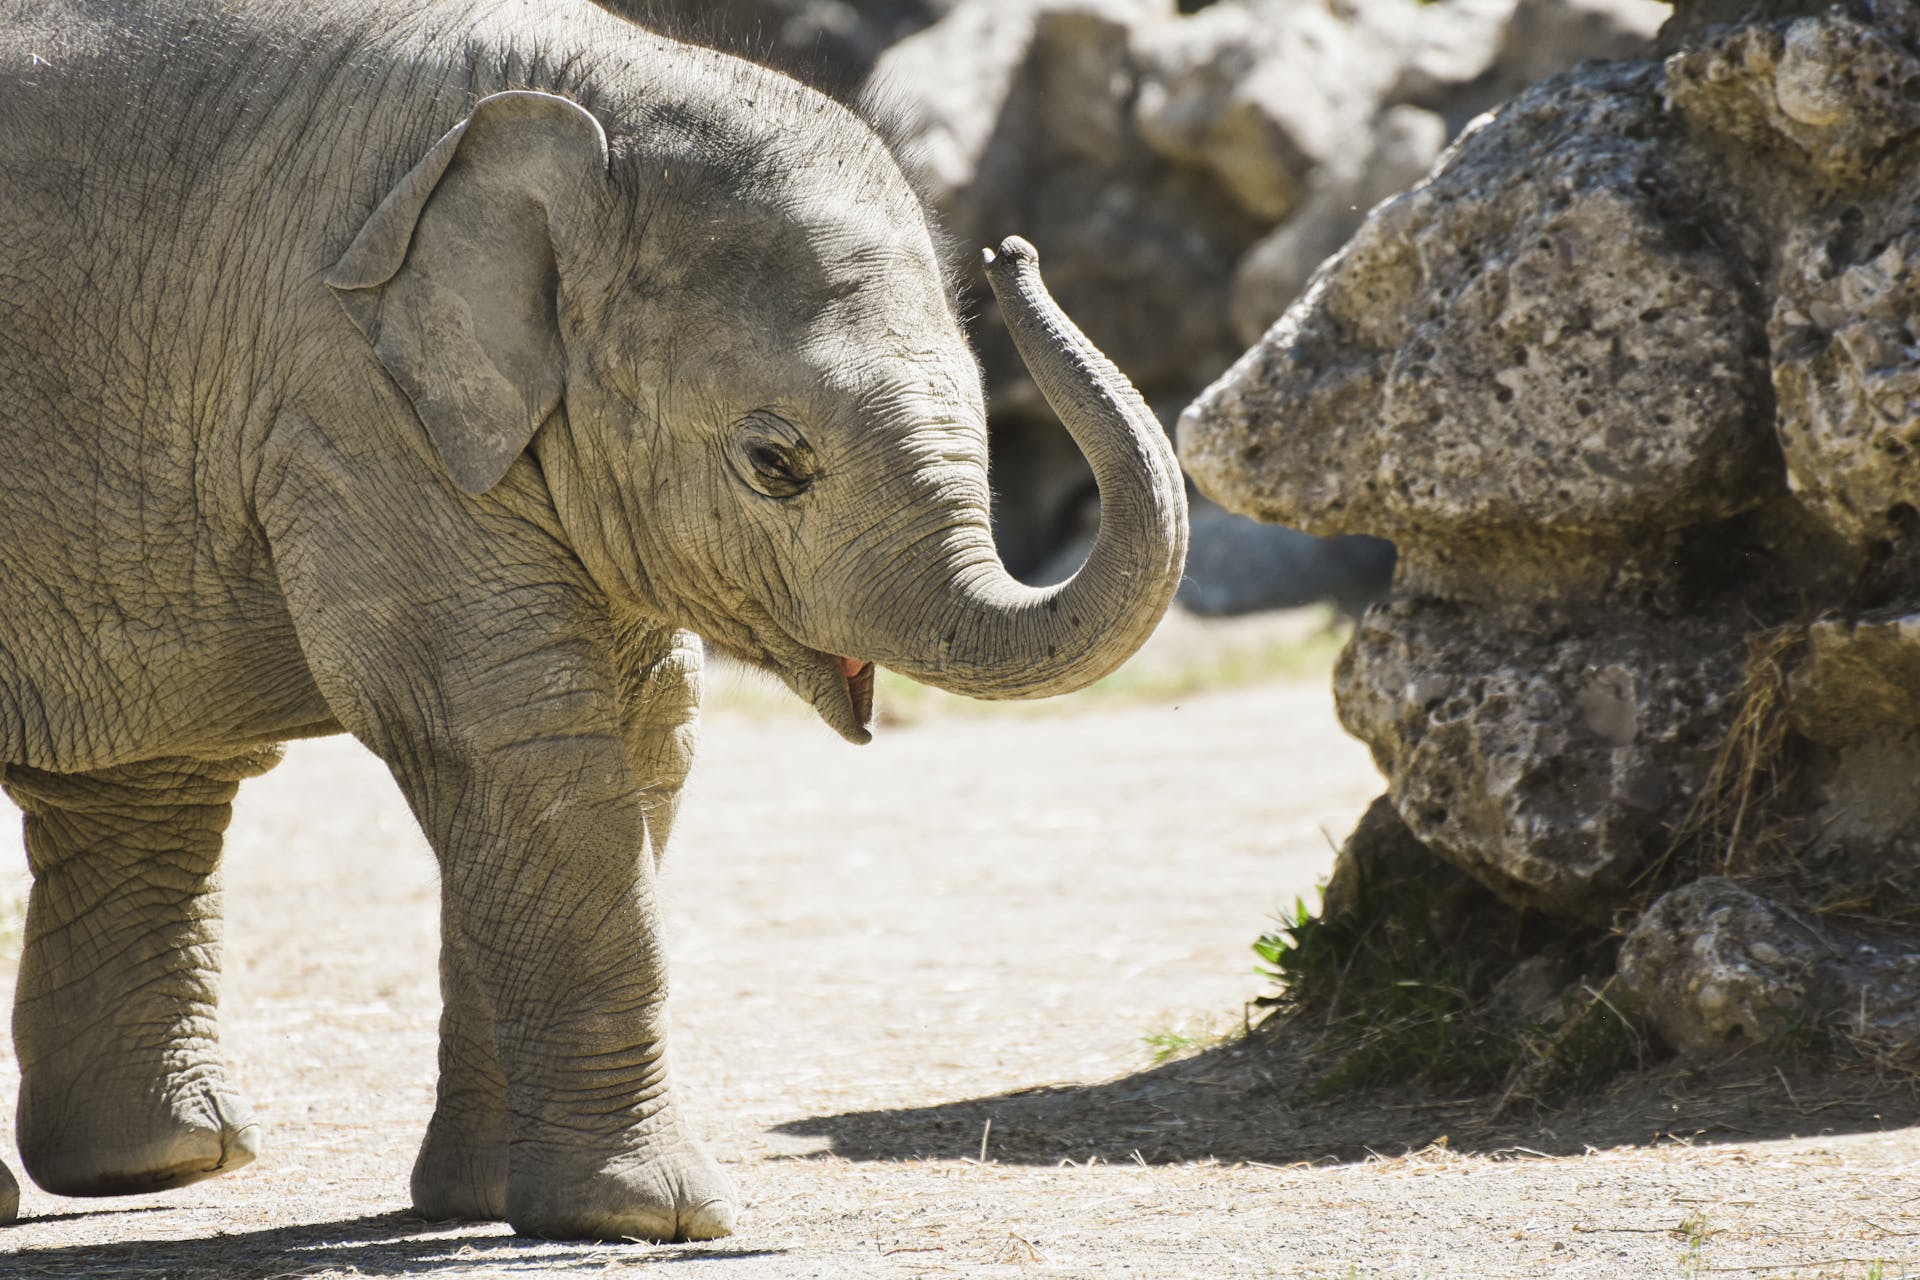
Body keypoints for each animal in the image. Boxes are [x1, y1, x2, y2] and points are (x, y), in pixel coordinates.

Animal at [0, 0, 1182, 1243]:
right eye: (775, 462)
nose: (1015, 252)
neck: (571, 121)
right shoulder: (347, 401)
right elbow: (509, 725)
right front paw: (657, 1219)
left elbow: (643, 731)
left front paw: (487, 1204)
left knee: (147, 779)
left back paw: (164, 1161)